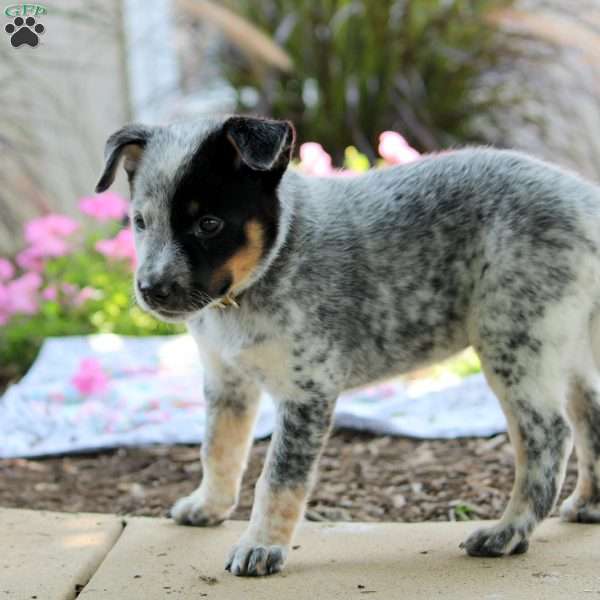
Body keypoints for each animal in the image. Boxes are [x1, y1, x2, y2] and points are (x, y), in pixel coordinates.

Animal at [96, 113, 600, 576]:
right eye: (140, 222)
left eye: (209, 223)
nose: (151, 289)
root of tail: (584, 197)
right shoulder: (227, 381)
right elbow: (218, 449)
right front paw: (208, 506)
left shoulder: (307, 390)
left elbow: (278, 476)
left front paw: (261, 545)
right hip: (569, 345)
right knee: (588, 416)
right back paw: (589, 504)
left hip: (515, 340)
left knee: (548, 436)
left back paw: (508, 532)